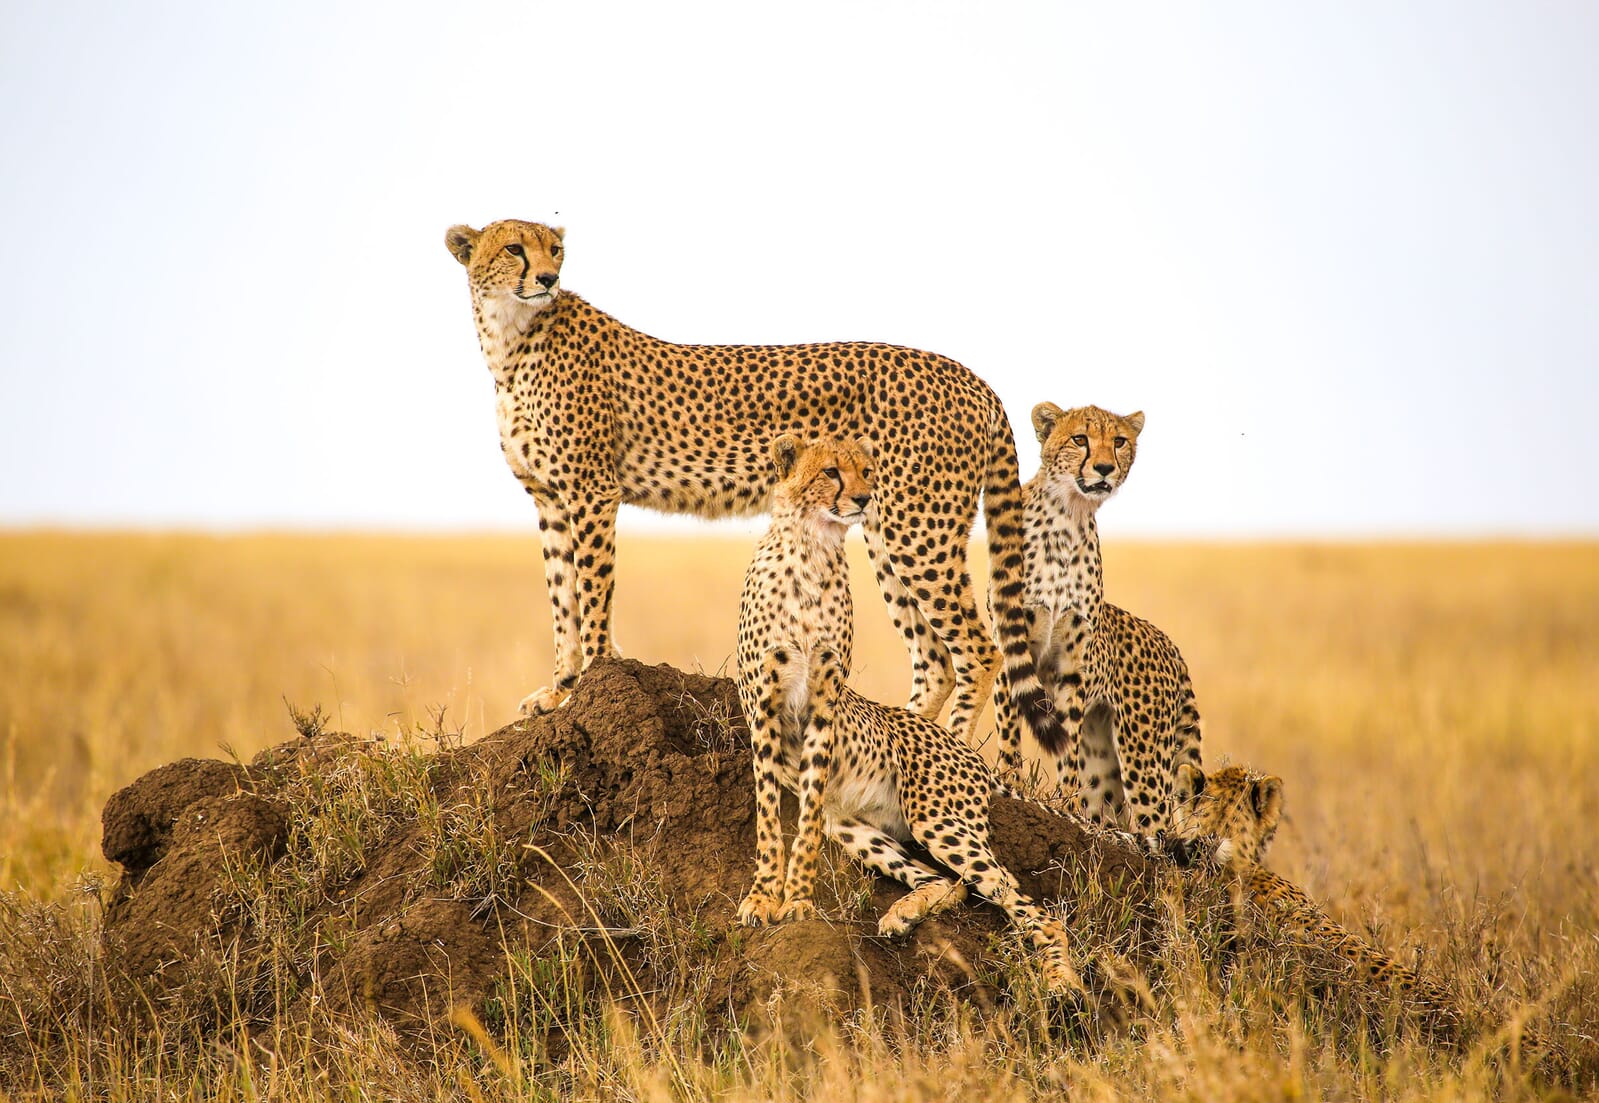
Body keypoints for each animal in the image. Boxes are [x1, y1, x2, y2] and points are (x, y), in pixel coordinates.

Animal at [444, 219, 1062, 757]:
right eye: (515, 248)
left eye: (555, 250)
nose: (548, 278)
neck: (511, 337)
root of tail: (971, 377)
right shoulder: (549, 498)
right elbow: (562, 599)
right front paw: (559, 690)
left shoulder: (591, 491)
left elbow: (592, 594)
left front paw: (591, 680)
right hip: (885, 528)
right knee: (935, 659)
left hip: (919, 529)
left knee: (980, 650)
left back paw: (950, 749)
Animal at [733, 433, 1079, 992]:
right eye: (830, 472)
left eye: (868, 471)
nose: (863, 499)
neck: (811, 550)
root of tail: (965, 750)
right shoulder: (763, 707)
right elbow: (769, 815)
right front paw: (764, 897)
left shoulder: (825, 704)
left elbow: (803, 824)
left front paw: (798, 900)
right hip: (855, 827)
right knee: (950, 883)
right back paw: (904, 914)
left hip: (938, 819)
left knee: (1029, 906)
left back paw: (1061, 981)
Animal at [993, 403, 1202, 832]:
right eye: (1080, 439)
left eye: (1119, 441)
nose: (1104, 468)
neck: (1067, 517)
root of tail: (1170, 644)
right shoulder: (1011, 641)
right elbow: (1008, 728)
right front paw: (1008, 782)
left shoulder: (1072, 663)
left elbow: (1067, 740)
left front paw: (1066, 802)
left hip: (1143, 754)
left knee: (1155, 824)